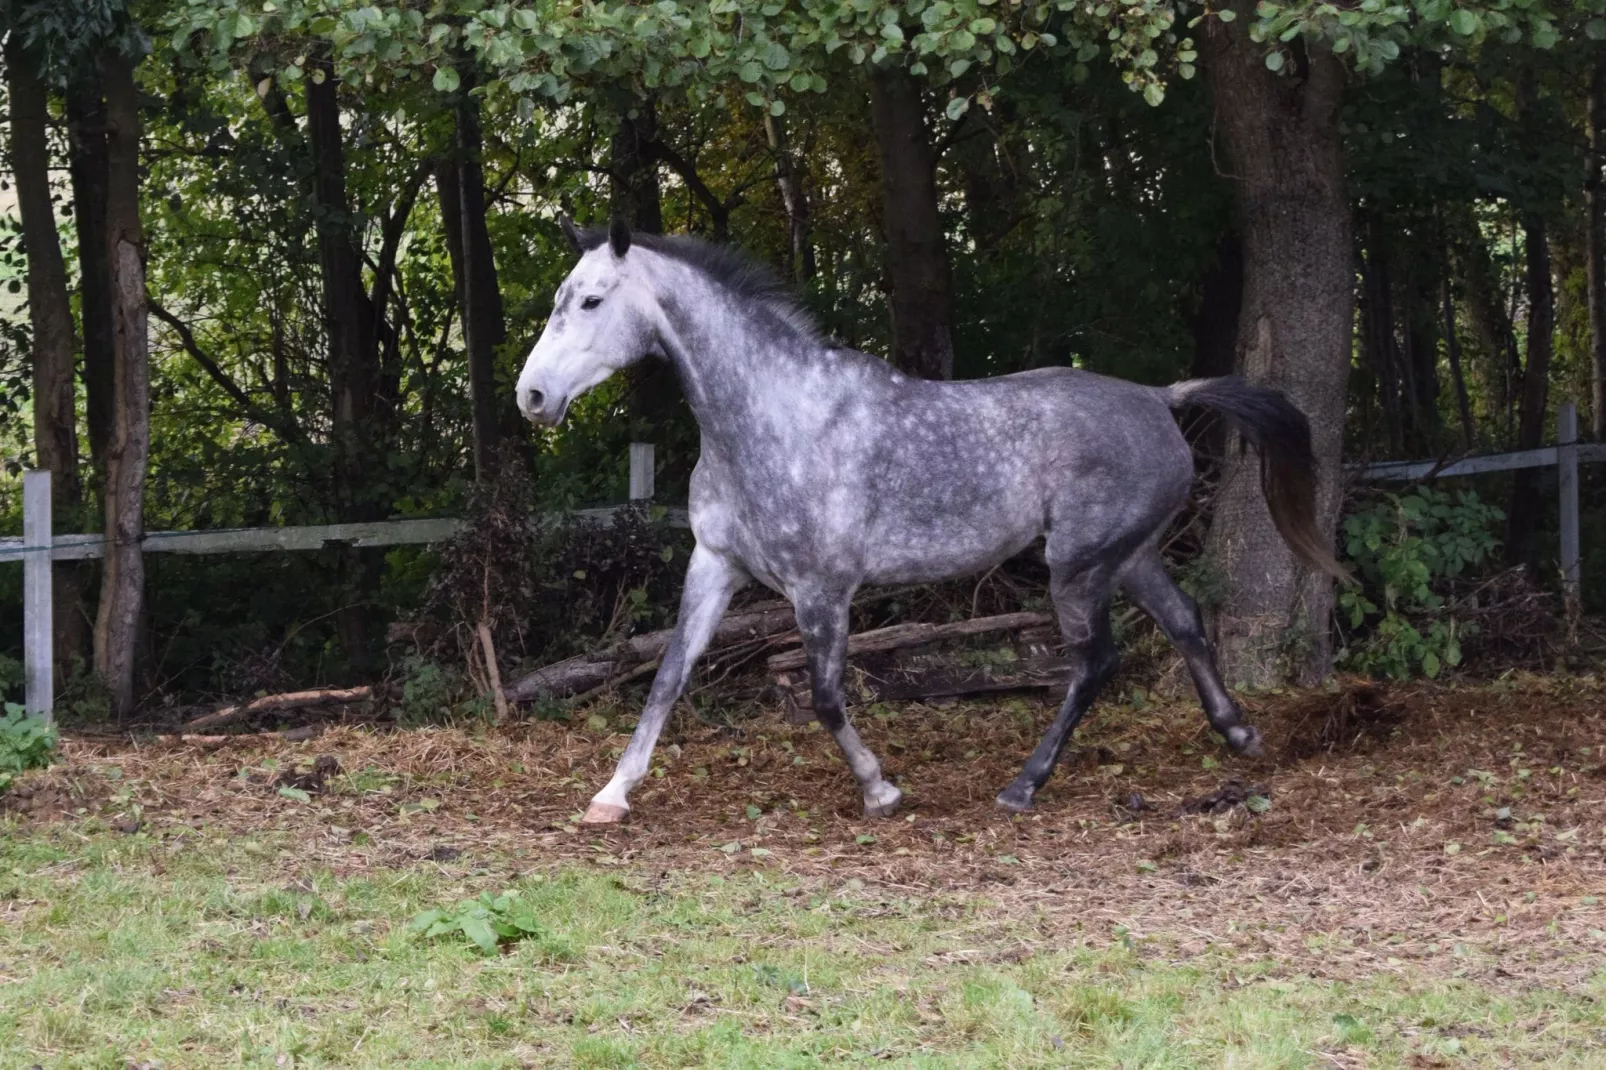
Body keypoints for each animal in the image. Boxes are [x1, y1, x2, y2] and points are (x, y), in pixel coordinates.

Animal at [513, 212, 1342, 819]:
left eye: (591, 300)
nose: (532, 397)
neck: (772, 415)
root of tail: (1160, 398)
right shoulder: (715, 565)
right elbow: (668, 676)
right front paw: (610, 795)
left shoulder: (821, 591)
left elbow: (824, 697)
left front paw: (881, 789)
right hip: (1128, 556)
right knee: (1186, 624)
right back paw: (1239, 733)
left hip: (1078, 567)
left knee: (1096, 663)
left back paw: (1023, 786)